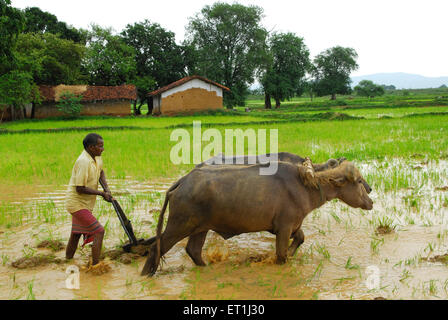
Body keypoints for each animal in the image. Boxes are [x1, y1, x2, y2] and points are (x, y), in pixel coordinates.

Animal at [142, 161, 372, 276]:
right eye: (360, 181)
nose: (370, 201)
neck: (305, 185)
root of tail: (183, 181)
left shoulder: (292, 226)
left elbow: (301, 238)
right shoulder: (284, 228)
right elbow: (281, 255)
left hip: (200, 228)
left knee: (193, 250)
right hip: (179, 225)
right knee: (155, 248)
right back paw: (146, 274)